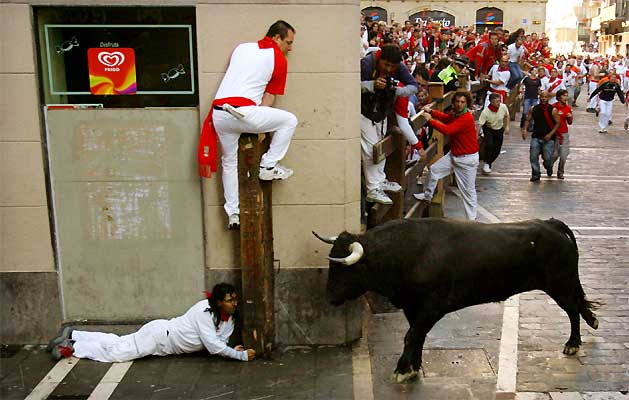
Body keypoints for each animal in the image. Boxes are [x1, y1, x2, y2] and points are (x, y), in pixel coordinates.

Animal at [314, 217, 600, 382]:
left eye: (345, 268)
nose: (329, 298)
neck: (408, 252)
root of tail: (551, 224)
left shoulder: (432, 307)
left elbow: (411, 335)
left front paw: (402, 369)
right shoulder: (413, 307)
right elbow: (417, 335)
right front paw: (414, 366)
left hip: (559, 285)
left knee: (573, 310)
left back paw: (572, 344)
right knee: (577, 305)